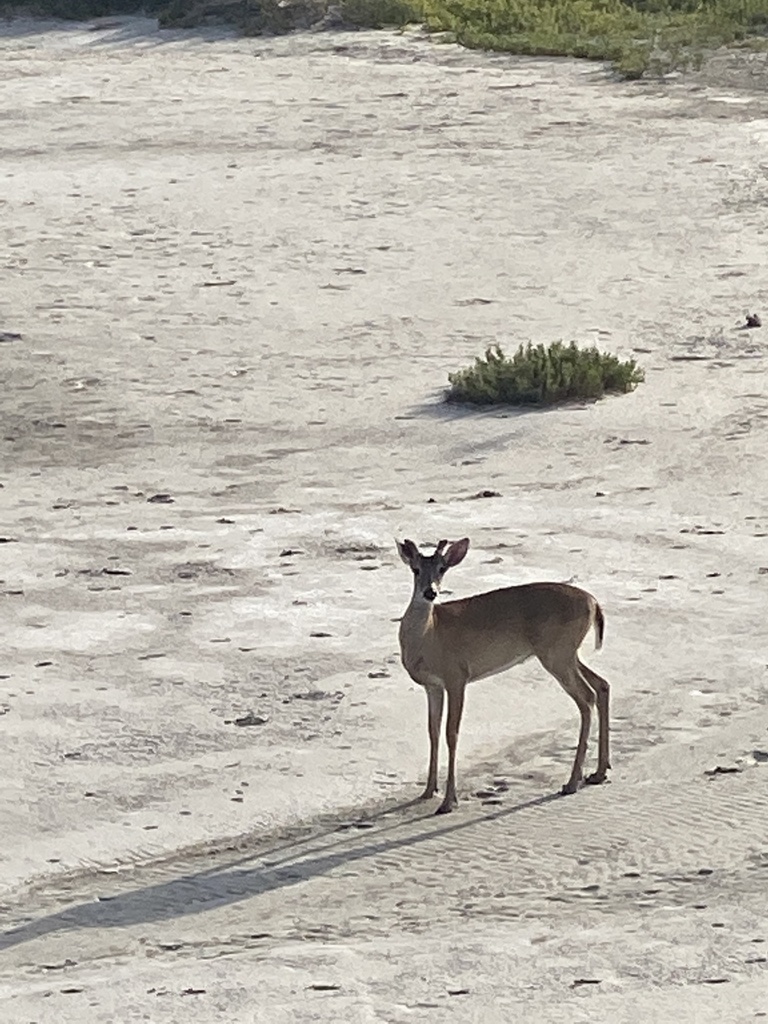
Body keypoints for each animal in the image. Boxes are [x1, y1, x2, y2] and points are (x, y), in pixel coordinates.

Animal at [396, 537, 610, 815]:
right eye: (416, 569)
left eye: (442, 569)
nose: (430, 592)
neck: (430, 635)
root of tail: (594, 602)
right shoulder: (433, 685)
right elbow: (433, 732)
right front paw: (428, 791)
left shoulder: (457, 676)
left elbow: (451, 734)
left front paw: (448, 801)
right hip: (566, 653)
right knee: (602, 685)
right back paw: (599, 773)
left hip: (557, 653)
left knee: (586, 698)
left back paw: (572, 782)